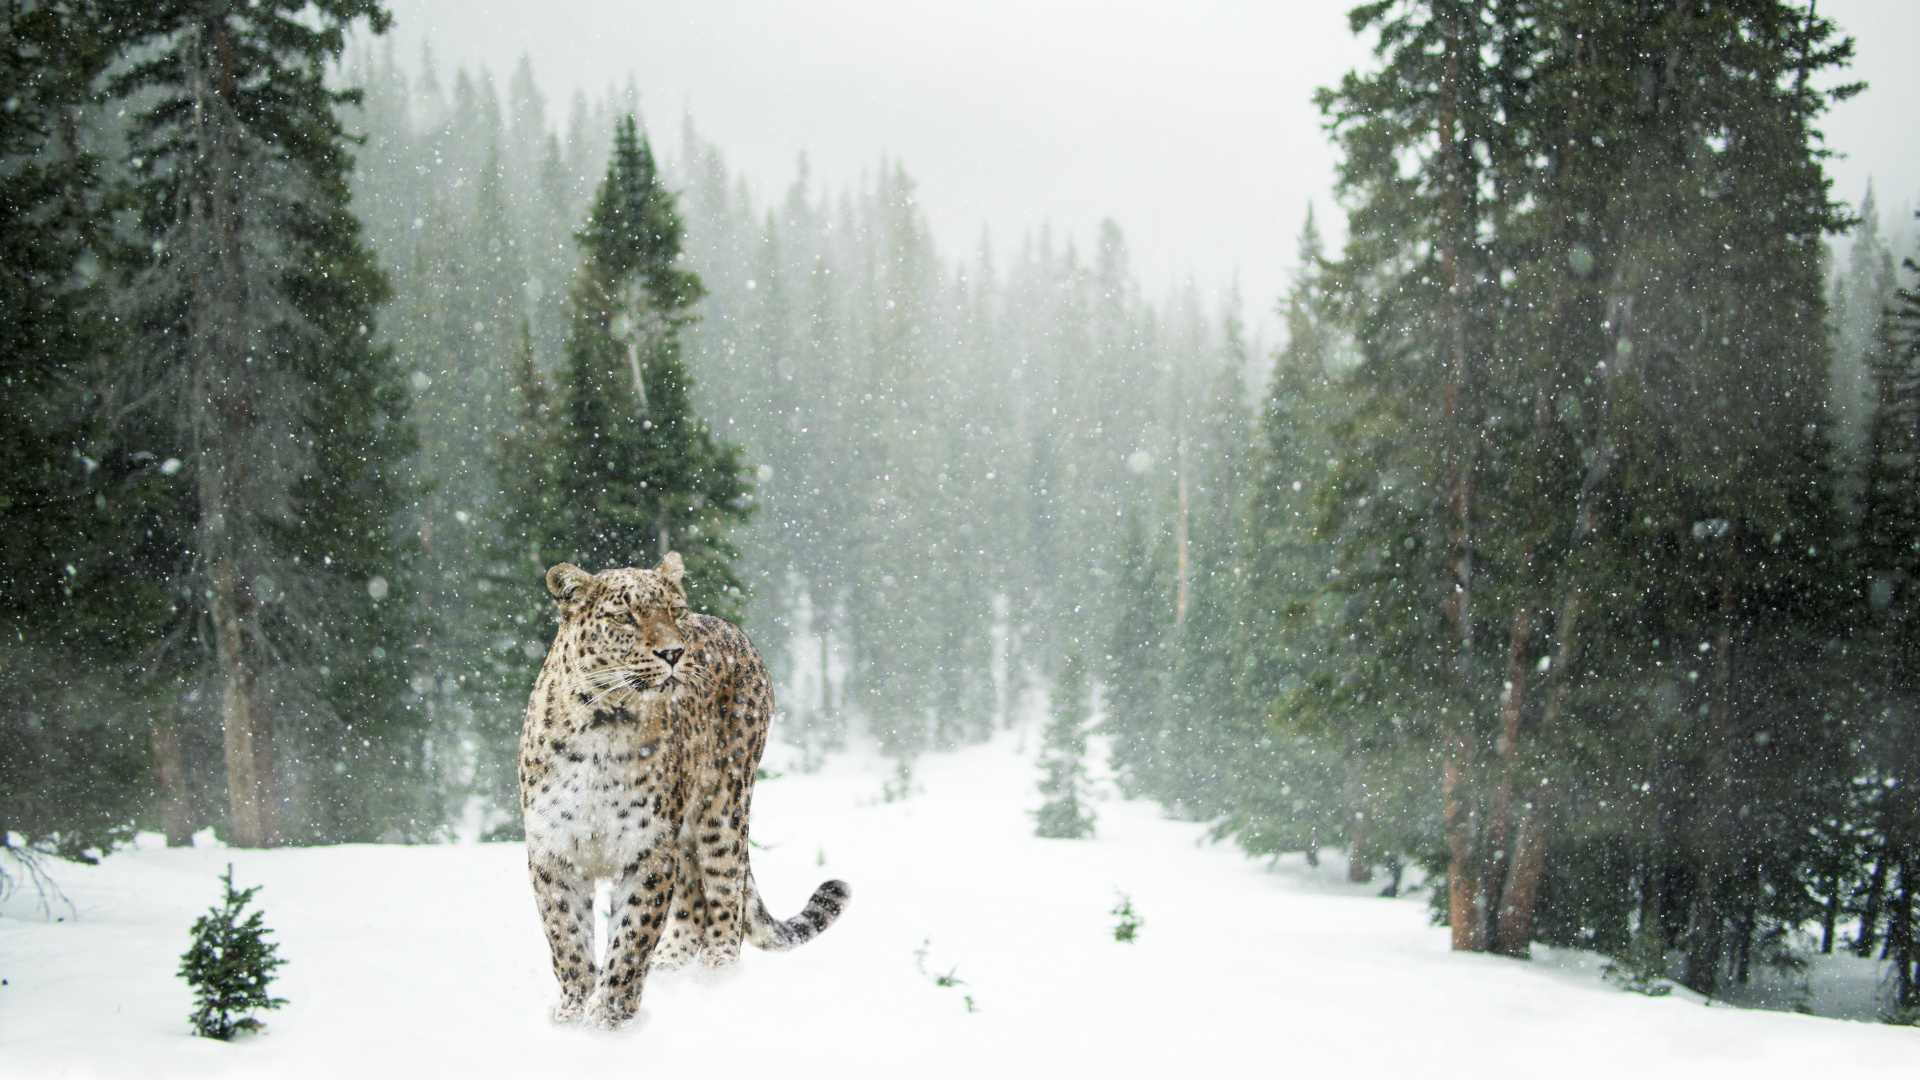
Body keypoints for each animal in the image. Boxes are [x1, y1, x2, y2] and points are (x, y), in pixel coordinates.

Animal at [519, 552, 849, 1029]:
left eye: (675, 612)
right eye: (624, 617)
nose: (674, 652)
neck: (604, 726)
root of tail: (733, 629)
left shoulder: (649, 849)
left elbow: (632, 937)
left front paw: (609, 1018)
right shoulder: (554, 851)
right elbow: (567, 939)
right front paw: (573, 1014)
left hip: (723, 807)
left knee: (725, 892)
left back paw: (715, 975)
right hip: (689, 831)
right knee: (693, 897)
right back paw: (671, 967)